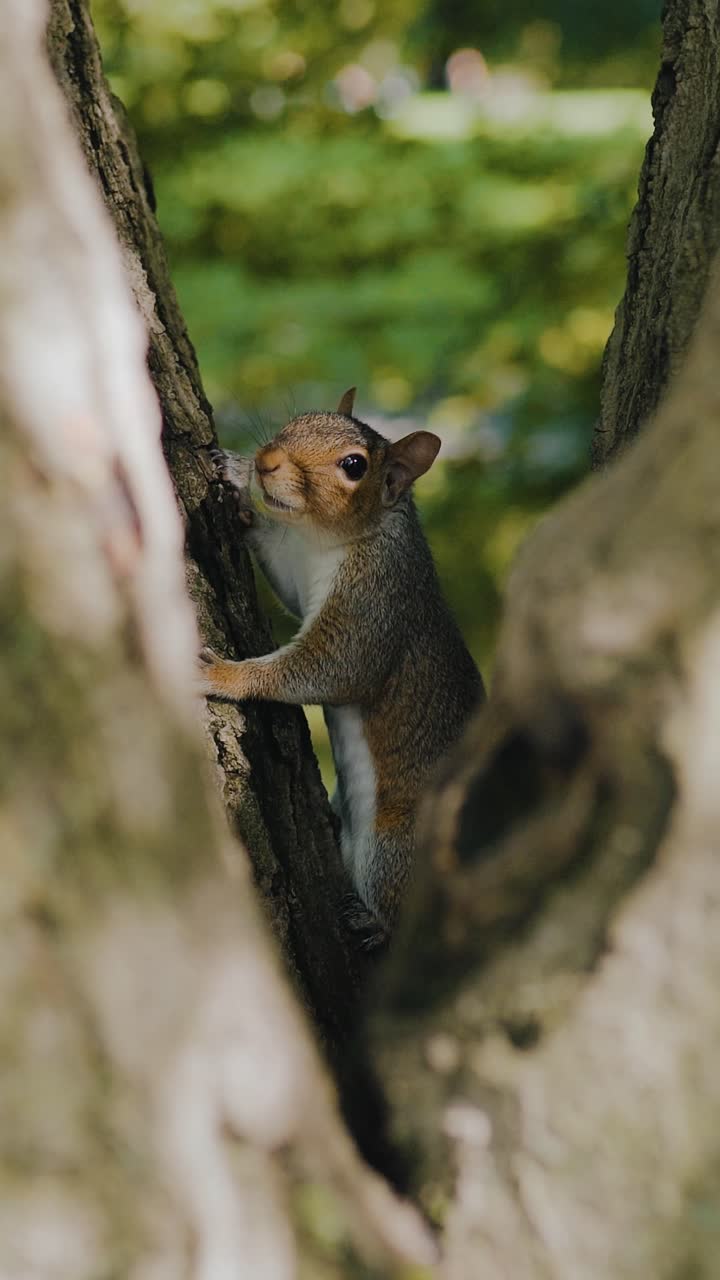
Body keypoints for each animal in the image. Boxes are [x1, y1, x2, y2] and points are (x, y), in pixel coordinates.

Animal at [200, 388, 484, 946]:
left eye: (355, 465)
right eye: (298, 419)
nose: (266, 462)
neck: (327, 539)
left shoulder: (375, 600)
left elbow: (333, 667)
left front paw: (223, 675)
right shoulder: (299, 569)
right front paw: (235, 481)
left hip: (396, 849)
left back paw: (372, 922)